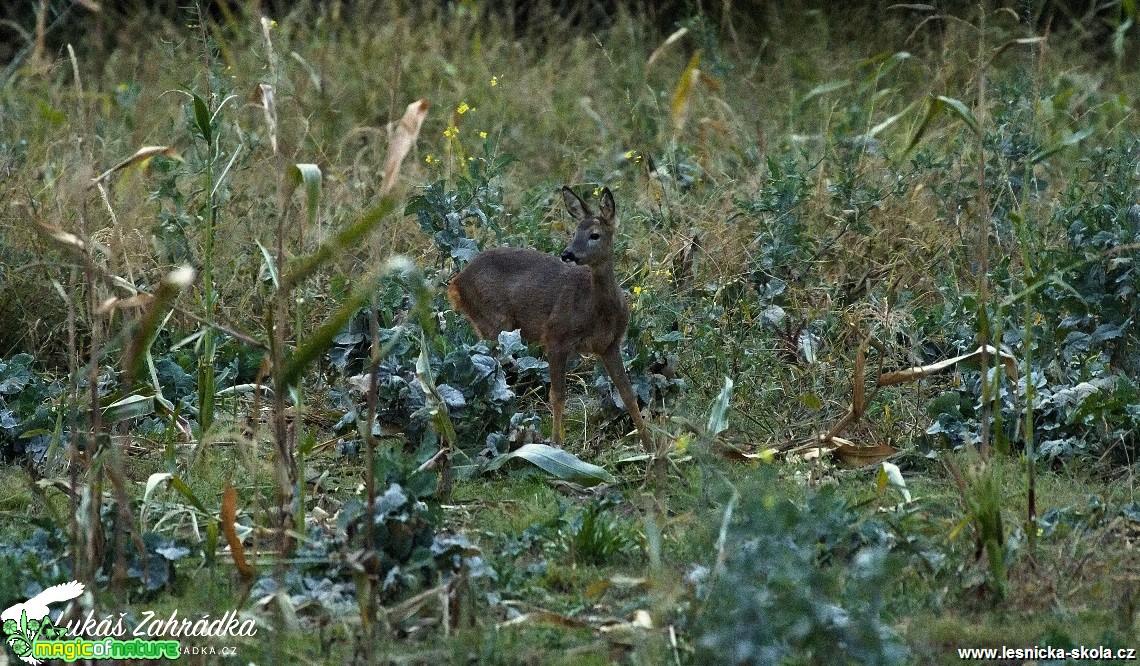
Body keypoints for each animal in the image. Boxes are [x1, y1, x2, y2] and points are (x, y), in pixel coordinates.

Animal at [444, 185, 661, 478]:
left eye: (594, 234)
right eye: (574, 231)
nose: (568, 254)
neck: (595, 309)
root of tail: (455, 284)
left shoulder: (609, 345)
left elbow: (628, 394)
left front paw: (650, 448)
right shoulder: (555, 337)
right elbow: (558, 396)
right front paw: (557, 449)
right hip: (494, 322)